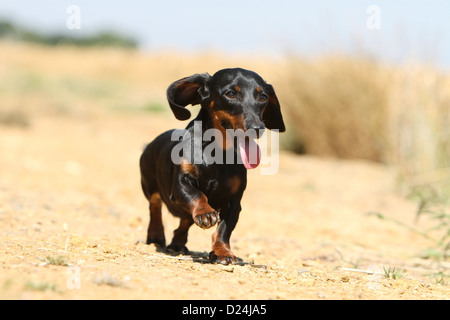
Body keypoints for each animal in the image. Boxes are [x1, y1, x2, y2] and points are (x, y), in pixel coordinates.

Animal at [139, 68, 284, 264]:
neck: (217, 153)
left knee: (184, 222)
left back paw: (178, 243)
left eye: (263, 97)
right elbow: (197, 195)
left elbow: (223, 231)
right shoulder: (180, 185)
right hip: (149, 186)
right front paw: (205, 213)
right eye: (230, 94)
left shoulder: (233, 202)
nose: (257, 128)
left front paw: (223, 253)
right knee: (155, 208)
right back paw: (156, 236)